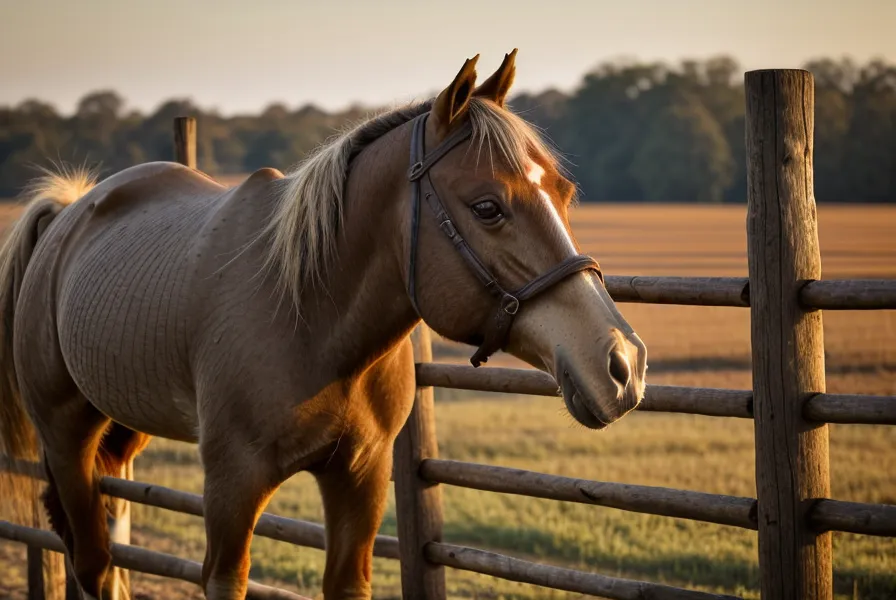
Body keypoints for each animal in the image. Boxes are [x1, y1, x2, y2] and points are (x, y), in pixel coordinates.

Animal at [0, 50, 647, 599]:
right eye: (487, 207)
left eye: (564, 193)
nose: (621, 363)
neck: (310, 319)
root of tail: (69, 212)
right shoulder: (232, 486)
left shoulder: (360, 478)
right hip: (67, 437)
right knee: (90, 561)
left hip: (120, 431)